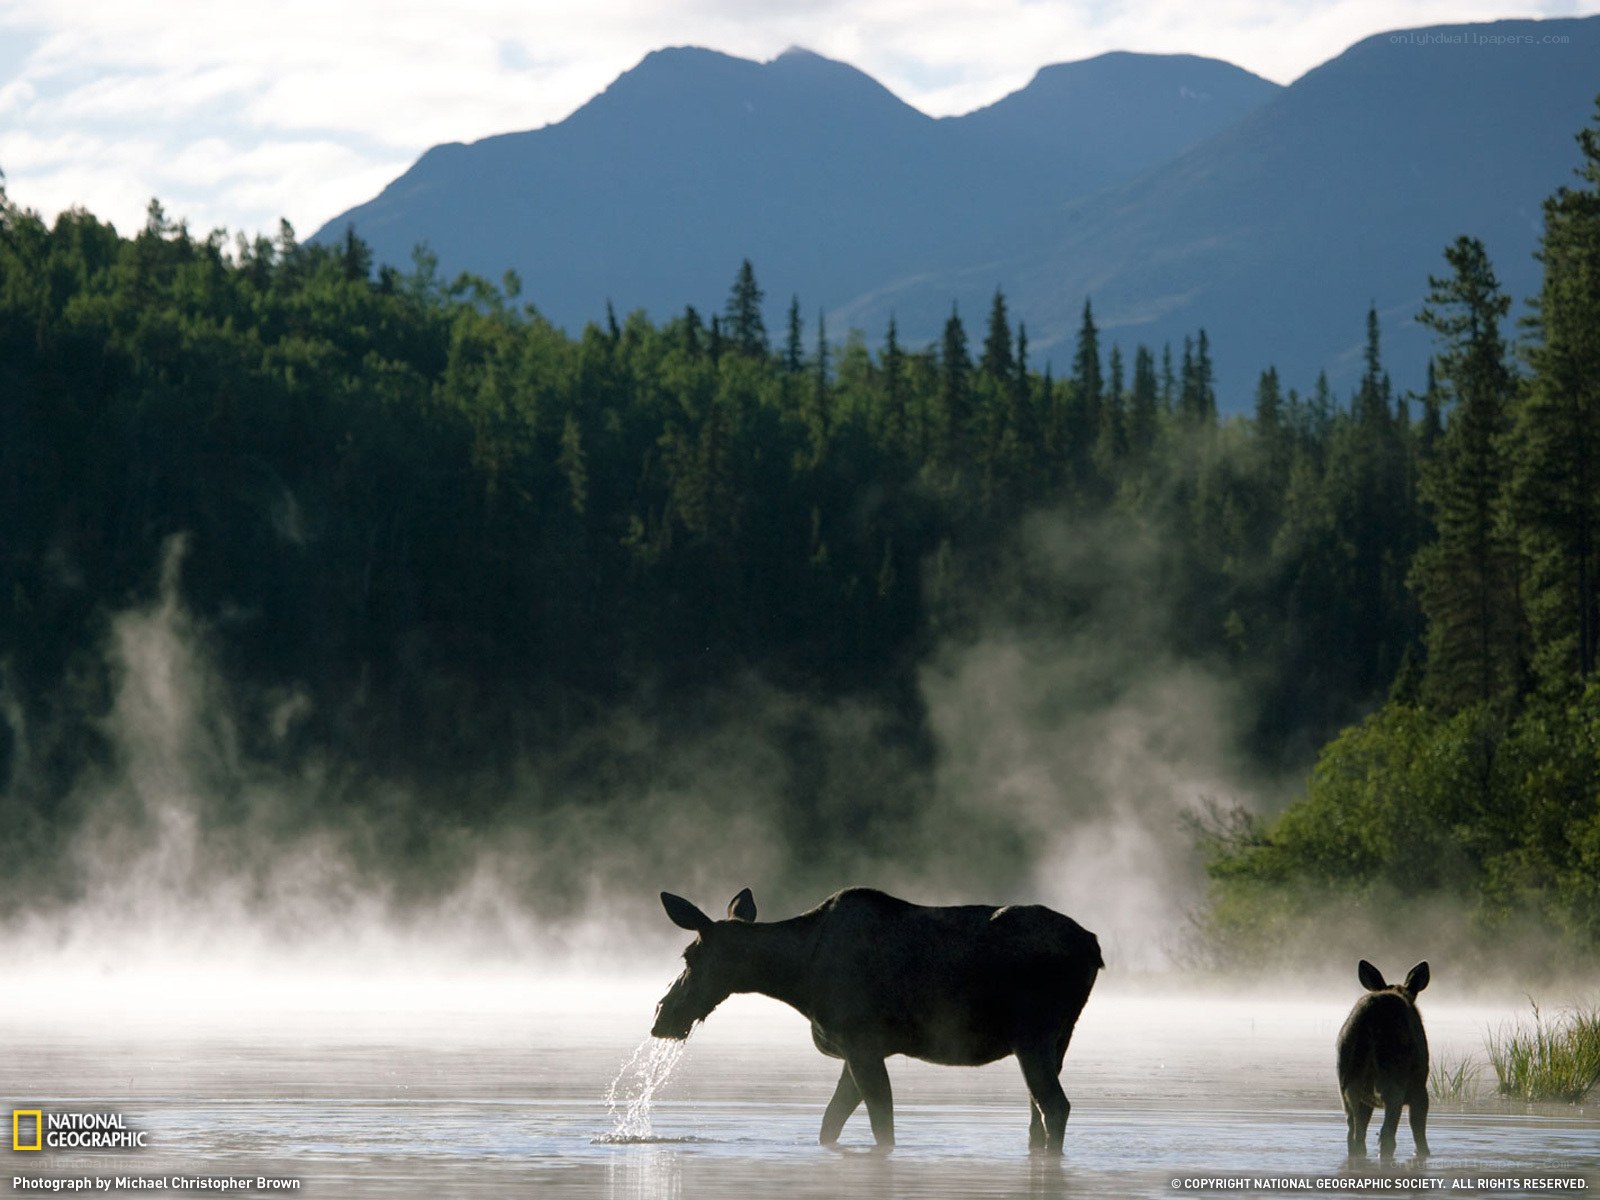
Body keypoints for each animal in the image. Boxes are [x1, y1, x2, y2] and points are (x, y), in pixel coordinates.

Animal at [650, 885, 1102, 1154]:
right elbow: (829, 1125)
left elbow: (881, 1125)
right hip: (1058, 1038)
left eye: (688, 955)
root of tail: (1094, 947)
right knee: (1037, 1116)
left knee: (1055, 1106)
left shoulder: (862, 1043)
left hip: (1033, 1033)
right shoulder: (853, 1051)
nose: (661, 1016)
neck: (797, 979)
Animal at [1336, 959, 1431, 1158]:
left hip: (1347, 1086)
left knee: (1354, 1135)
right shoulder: (1419, 1089)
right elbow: (1418, 1132)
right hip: (1393, 1081)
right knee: (1386, 1135)